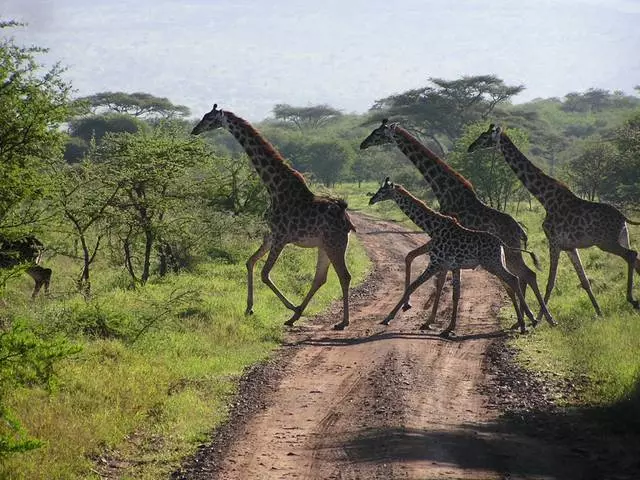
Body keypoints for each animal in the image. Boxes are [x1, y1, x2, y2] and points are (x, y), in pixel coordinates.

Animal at [192, 105, 358, 330]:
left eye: (209, 118)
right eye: (204, 116)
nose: (195, 130)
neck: (274, 187)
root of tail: (346, 220)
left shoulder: (281, 237)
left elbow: (265, 273)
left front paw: (290, 306)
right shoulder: (270, 235)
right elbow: (250, 262)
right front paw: (249, 308)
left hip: (335, 243)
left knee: (344, 276)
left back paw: (342, 321)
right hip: (324, 244)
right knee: (320, 278)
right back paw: (295, 317)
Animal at [360, 122, 556, 328]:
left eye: (378, 133)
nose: (362, 144)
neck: (444, 189)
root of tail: (520, 231)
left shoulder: (440, 240)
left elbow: (436, 276)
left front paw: (424, 315)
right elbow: (413, 258)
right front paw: (418, 310)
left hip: (510, 252)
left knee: (525, 275)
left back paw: (541, 318)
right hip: (509, 254)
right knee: (522, 276)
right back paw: (525, 320)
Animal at [464, 124, 640, 316]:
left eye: (484, 137)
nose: (470, 147)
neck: (545, 198)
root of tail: (623, 218)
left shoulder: (554, 242)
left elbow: (550, 282)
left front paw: (542, 317)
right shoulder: (569, 246)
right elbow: (584, 281)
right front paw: (599, 312)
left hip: (607, 242)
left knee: (631, 255)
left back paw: (632, 299)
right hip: (623, 237)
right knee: (636, 258)